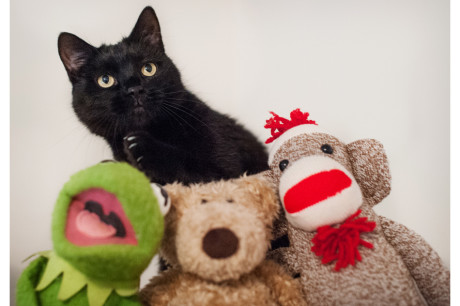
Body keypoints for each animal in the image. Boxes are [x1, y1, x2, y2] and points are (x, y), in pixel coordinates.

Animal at [58, 6, 268, 184]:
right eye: (105, 80)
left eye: (148, 68)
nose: (135, 89)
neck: (155, 131)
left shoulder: (228, 172)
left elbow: (191, 168)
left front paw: (140, 145)